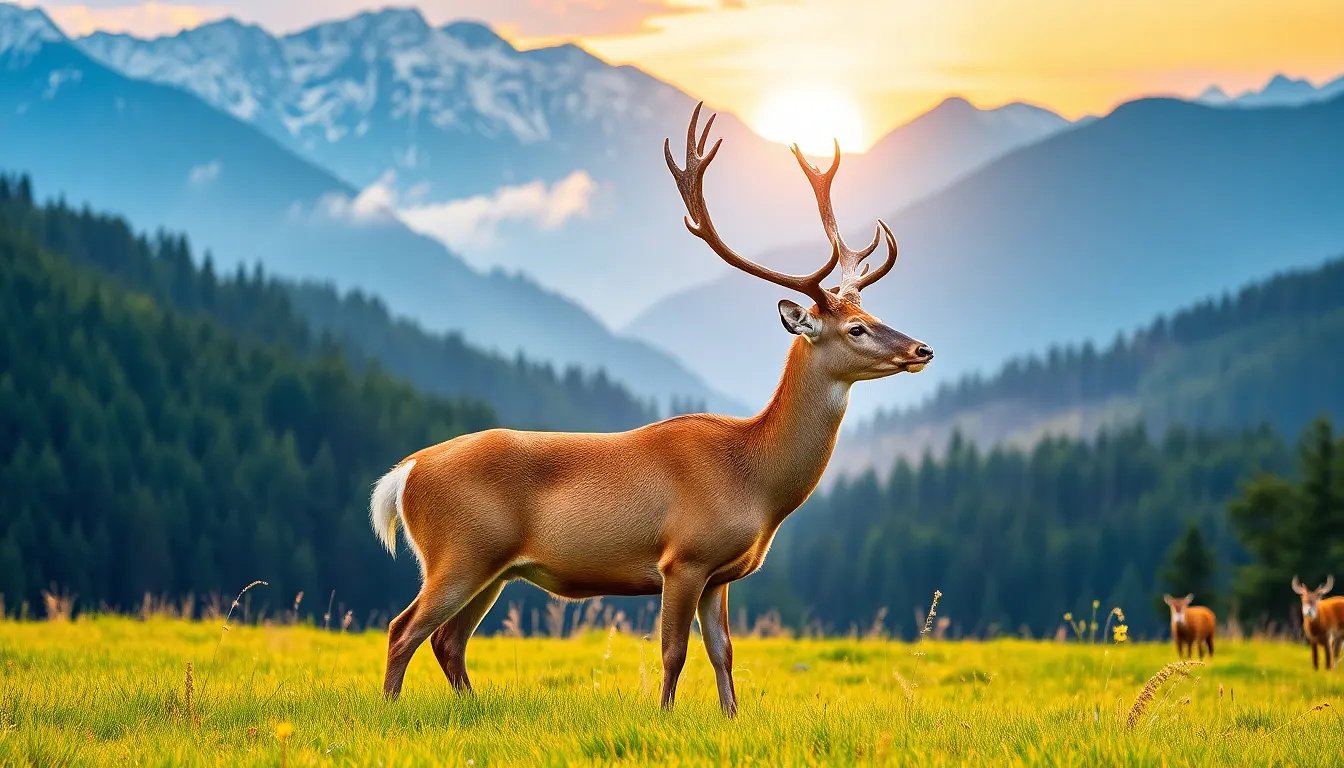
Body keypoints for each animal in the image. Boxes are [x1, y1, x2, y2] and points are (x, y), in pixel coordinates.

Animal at [367, 103, 933, 715]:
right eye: (856, 328)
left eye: (873, 314)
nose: (921, 350)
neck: (754, 480)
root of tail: (404, 474)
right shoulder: (682, 557)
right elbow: (674, 652)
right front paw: (664, 714)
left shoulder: (720, 574)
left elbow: (723, 653)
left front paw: (731, 716)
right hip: (460, 550)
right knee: (403, 629)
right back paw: (389, 708)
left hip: (494, 567)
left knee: (448, 640)